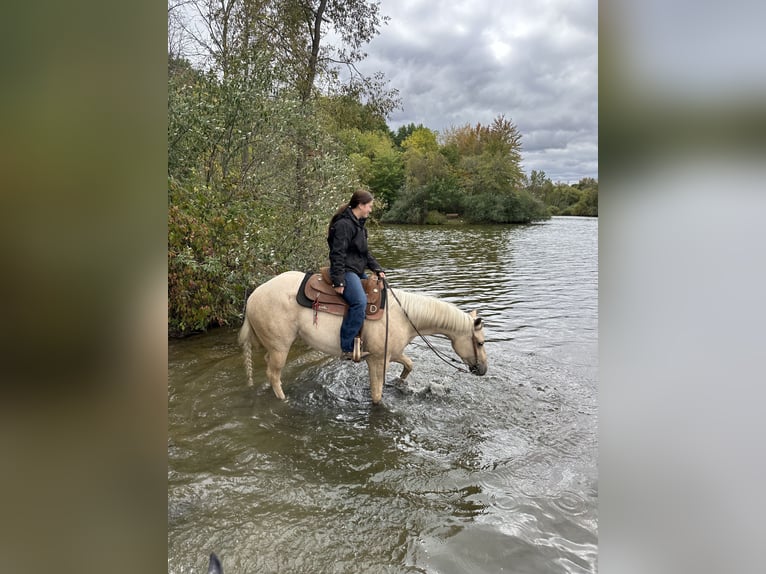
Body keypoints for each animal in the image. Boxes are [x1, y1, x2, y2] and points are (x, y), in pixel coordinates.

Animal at [237, 271, 488, 405]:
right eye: (480, 342)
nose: (483, 370)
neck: (403, 314)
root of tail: (253, 297)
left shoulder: (392, 353)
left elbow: (409, 364)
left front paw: (400, 382)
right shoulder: (377, 360)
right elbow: (377, 396)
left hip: (274, 347)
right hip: (281, 346)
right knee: (273, 374)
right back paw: (283, 400)